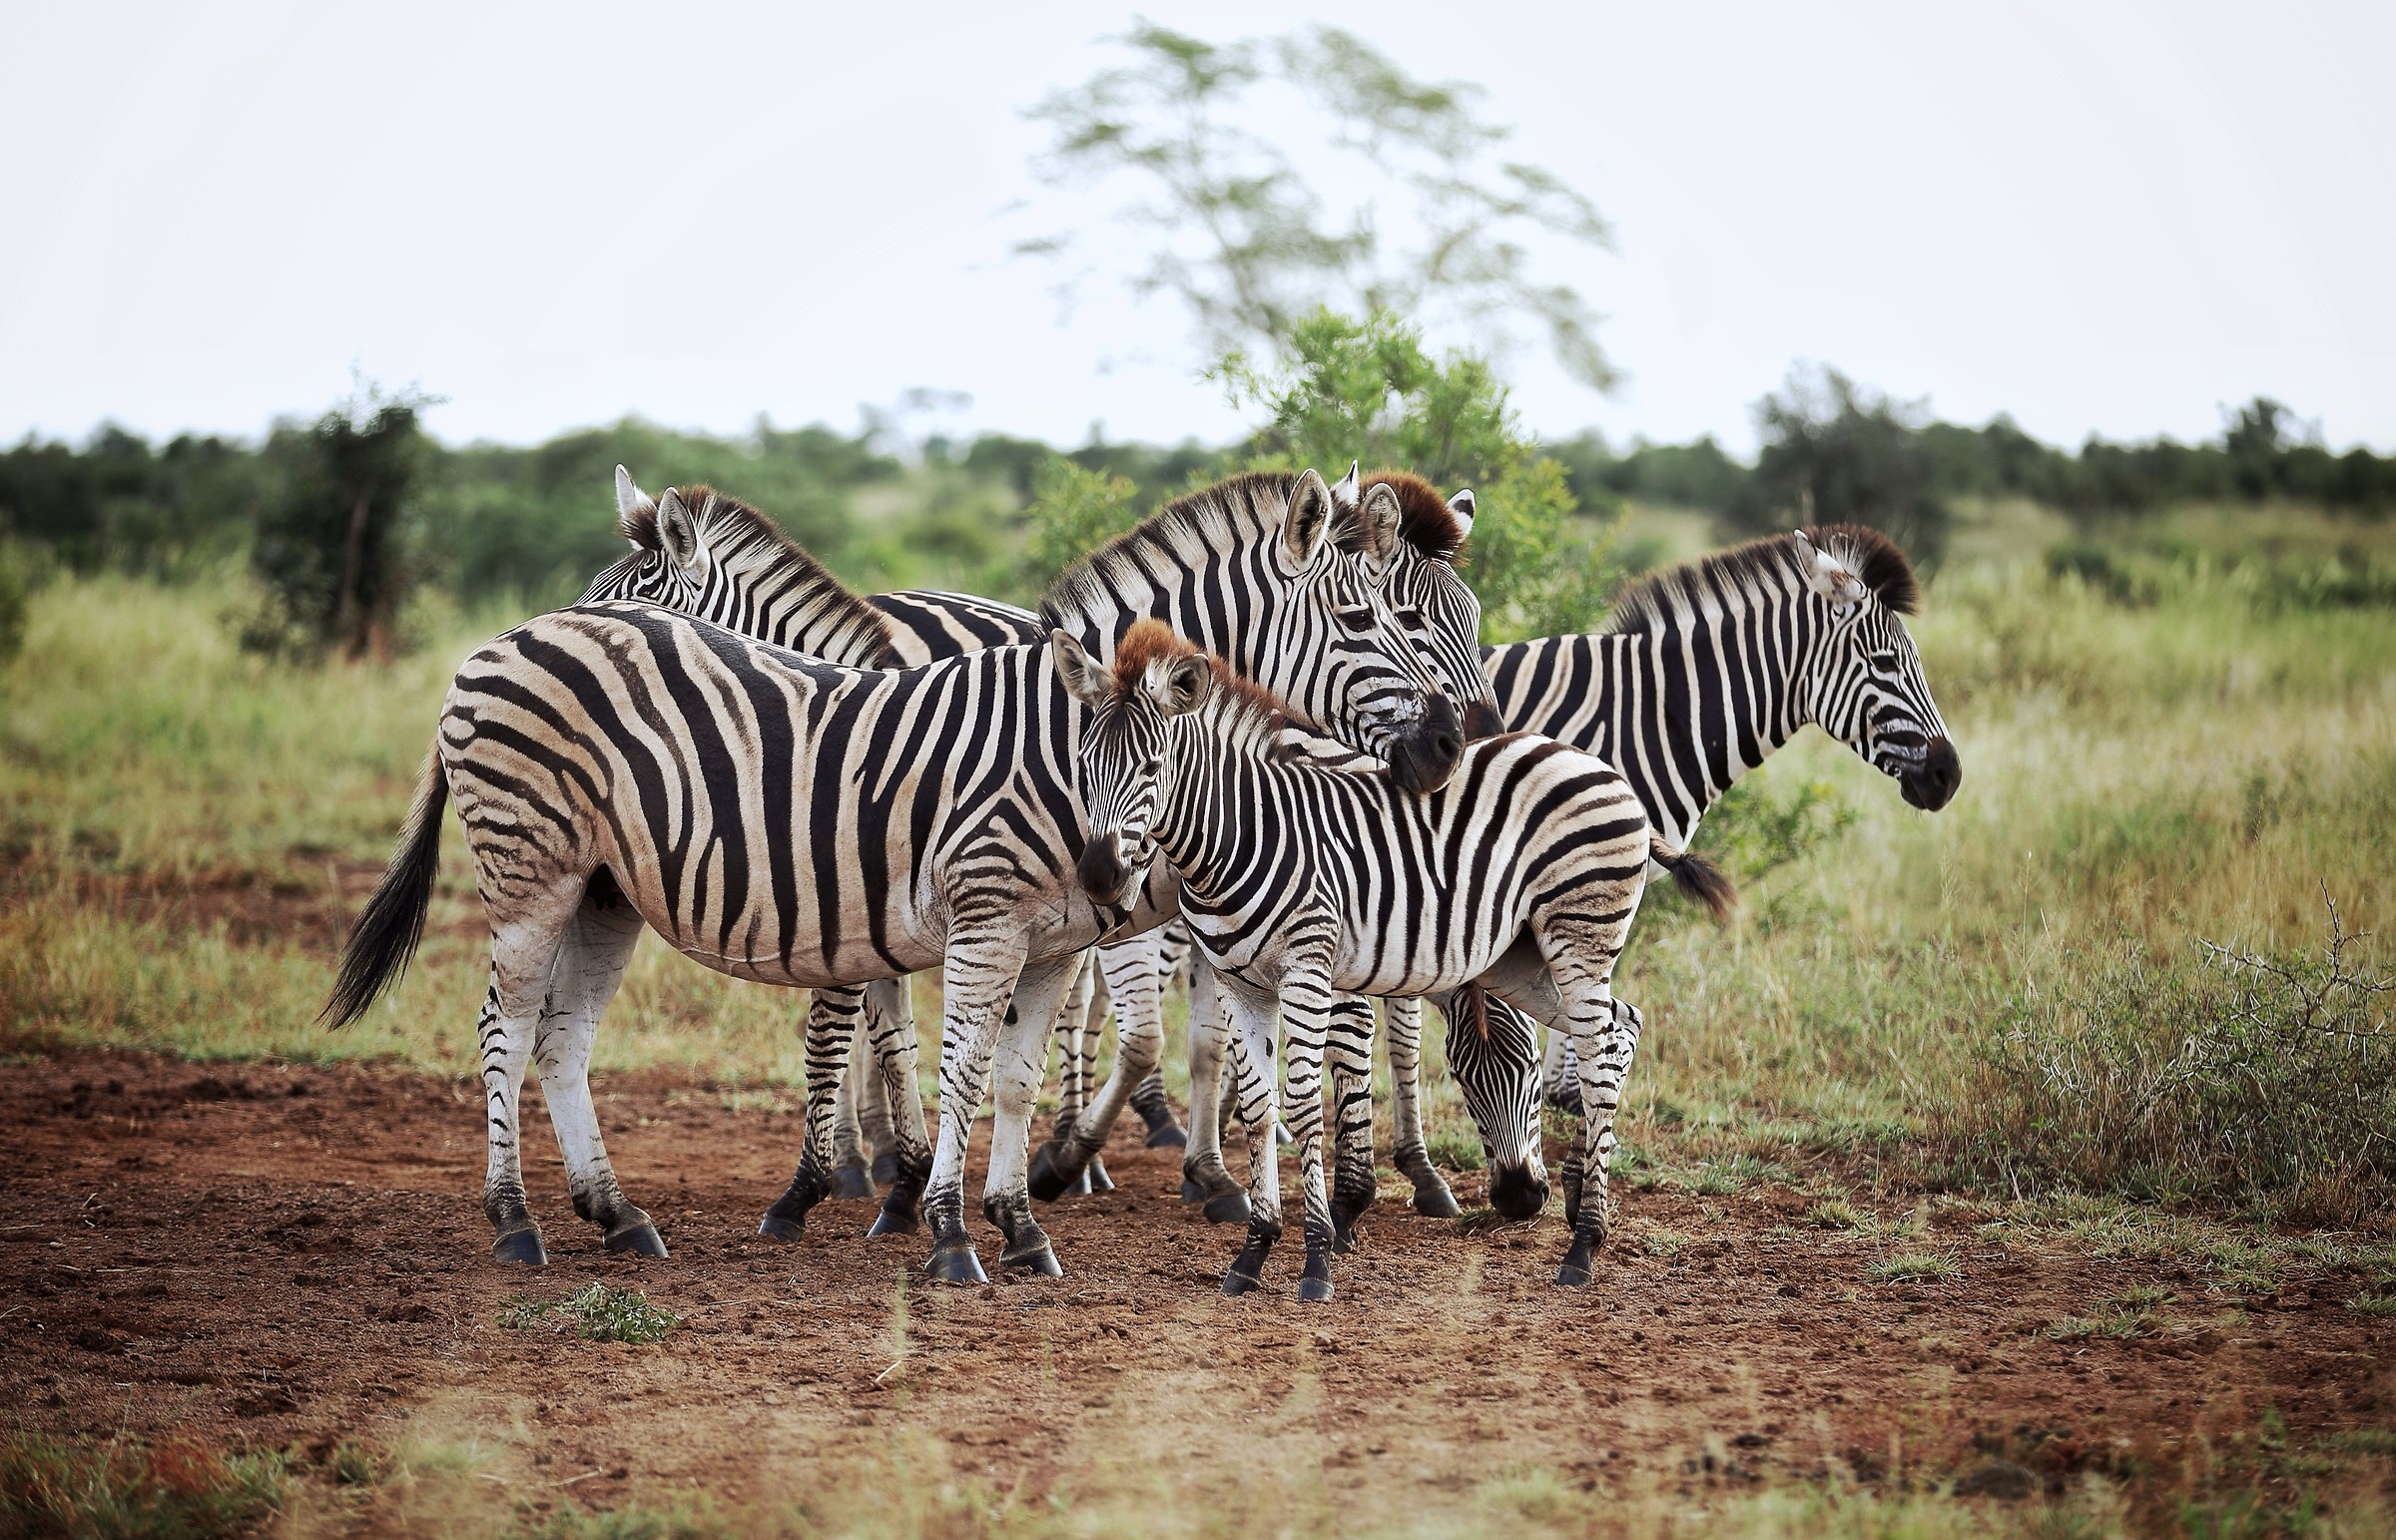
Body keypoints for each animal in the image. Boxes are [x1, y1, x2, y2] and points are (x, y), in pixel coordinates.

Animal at [325, 467, 1474, 1283]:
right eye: (1373, 622)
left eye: (1421, 621)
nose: (1449, 750)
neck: (1063, 735)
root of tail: (499, 642)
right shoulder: (964, 911)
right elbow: (932, 1055)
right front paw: (940, 1224)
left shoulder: (1047, 933)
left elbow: (1008, 1074)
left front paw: (1013, 1220)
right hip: (529, 865)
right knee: (507, 1024)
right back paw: (515, 1222)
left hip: (603, 889)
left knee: (560, 1038)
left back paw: (617, 1215)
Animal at [1056, 620, 1733, 1295]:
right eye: (1082, 763)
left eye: (1151, 766)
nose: (1097, 875)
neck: (1239, 837)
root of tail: (1596, 765)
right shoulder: (1238, 981)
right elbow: (1258, 1109)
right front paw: (1252, 1253)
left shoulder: (1308, 971)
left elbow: (1306, 1107)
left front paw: (1318, 1259)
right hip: (1522, 961)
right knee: (1622, 1027)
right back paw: (1581, 1213)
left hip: (1580, 935)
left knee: (1596, 1055)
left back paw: (1584, 1247)